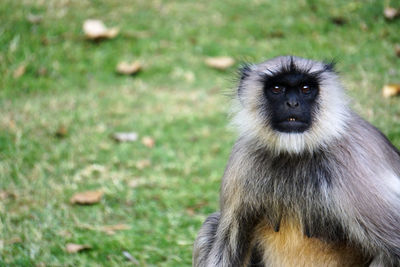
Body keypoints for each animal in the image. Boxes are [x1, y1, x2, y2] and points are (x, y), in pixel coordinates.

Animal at [192, 55, 400, 266]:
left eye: (305, 88)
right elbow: (226, 249)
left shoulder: (352, 165)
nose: (292, 103)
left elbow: (394, 250)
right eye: (277, 89)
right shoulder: (242, 160)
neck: (294, 152)